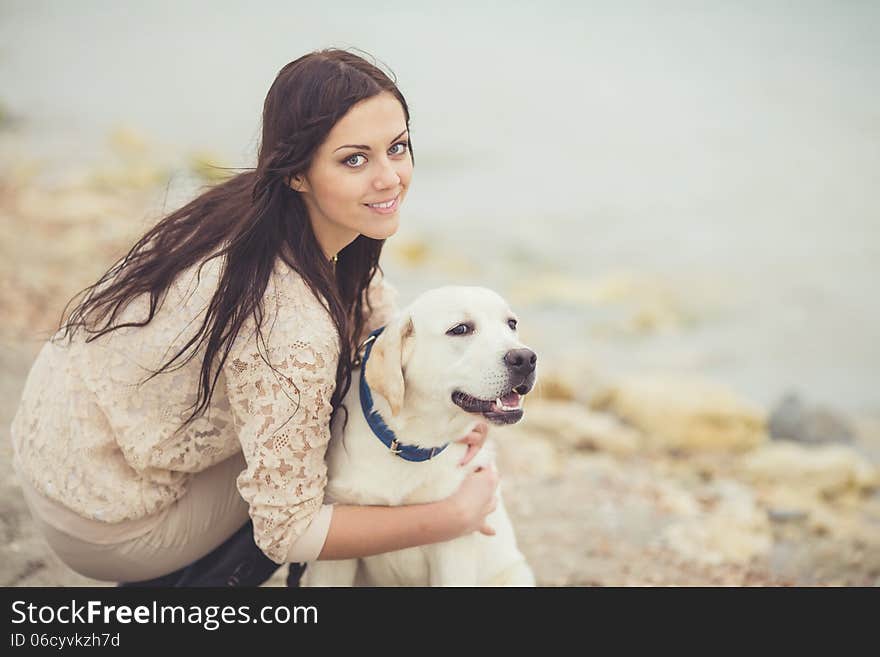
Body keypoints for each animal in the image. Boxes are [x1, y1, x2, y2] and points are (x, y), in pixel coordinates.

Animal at [302, 284, 536, 588]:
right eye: (461, 329)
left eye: (511, 324)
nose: (526, 359)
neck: (407, 443)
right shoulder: (332, 559)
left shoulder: (454, 545)